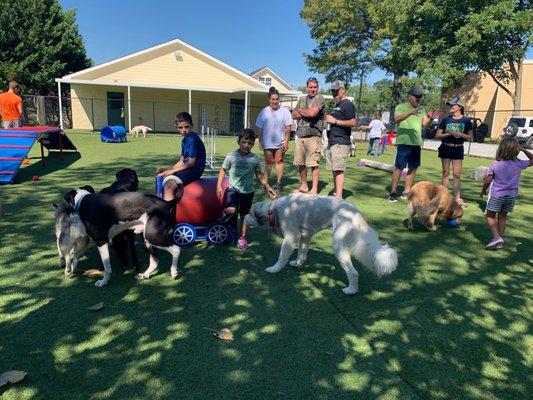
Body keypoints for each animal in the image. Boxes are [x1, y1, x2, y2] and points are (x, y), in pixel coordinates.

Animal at [243, 194, 396, 294]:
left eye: (250, 213)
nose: (243, 217)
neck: (273, 210)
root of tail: (355, 213)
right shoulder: (304, 237)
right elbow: (302, 253)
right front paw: (297, 263)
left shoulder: (291, 237)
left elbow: (282, 257)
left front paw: (275, 269)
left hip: (339, 246)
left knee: (353, 273)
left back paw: (351, 290)